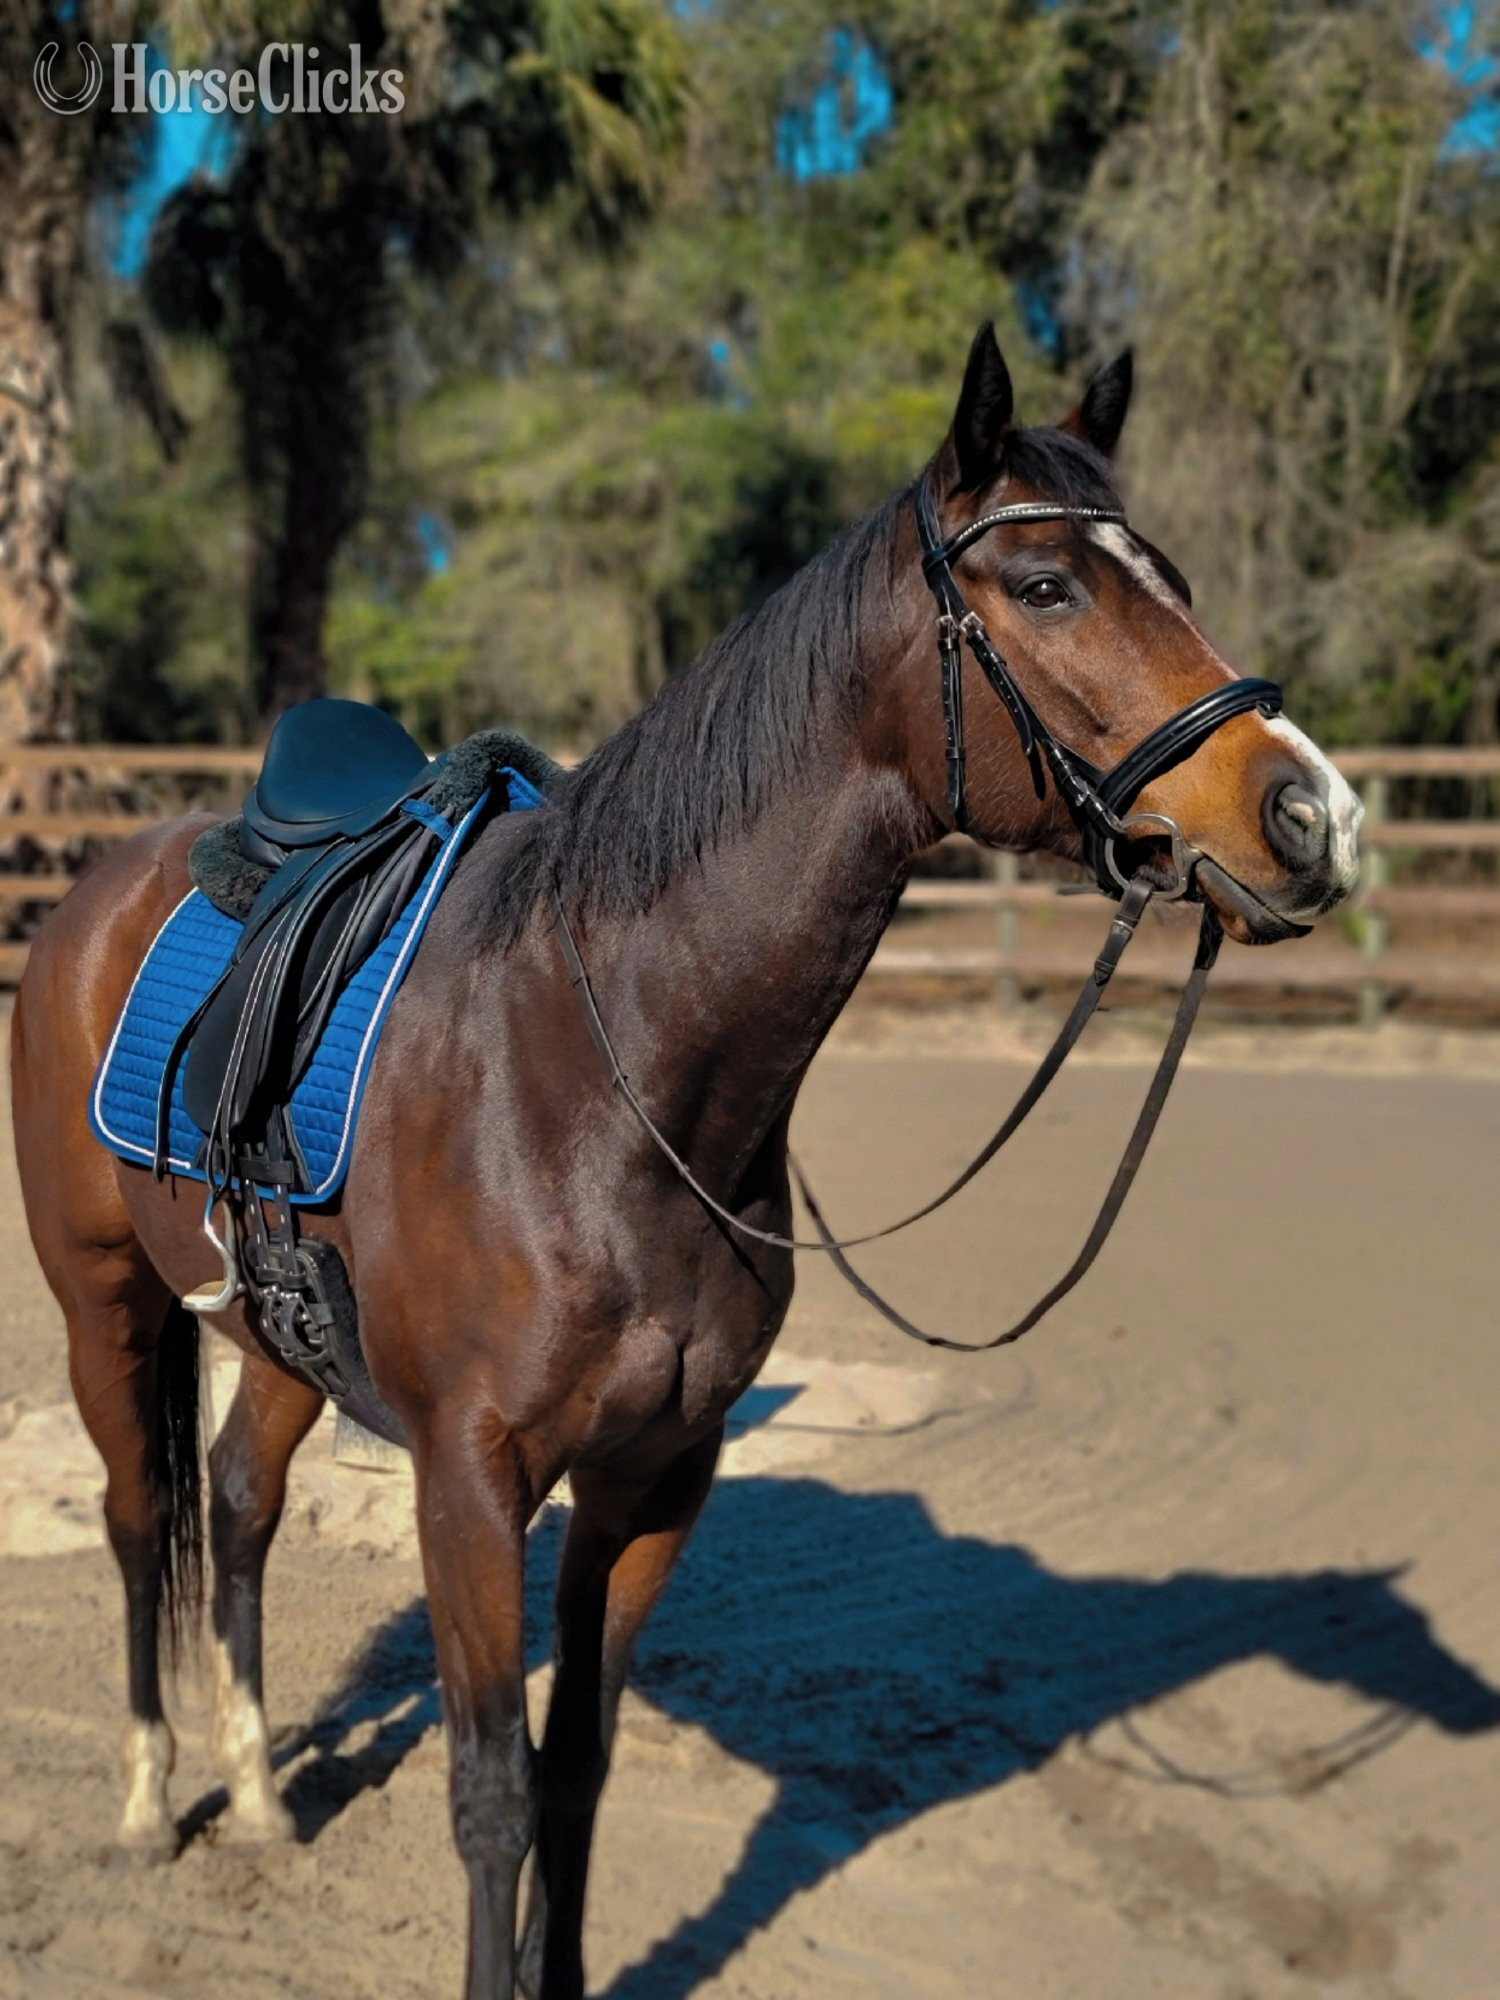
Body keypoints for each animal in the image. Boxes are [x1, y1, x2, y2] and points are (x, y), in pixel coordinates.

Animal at [9, 325, 1361, 2000]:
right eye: (1048, 584)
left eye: (1166, 573)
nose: (1311, 813)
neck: (608, 1075)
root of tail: (96, 888)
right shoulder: (470, 1480)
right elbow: (491, 1791)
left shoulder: (657, 1473)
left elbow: (576, 1771)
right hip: (102, 1303)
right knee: (143, 1522)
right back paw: (148, 1808)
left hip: (270, 1337)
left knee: (241, 1507)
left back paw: (259, 1802)